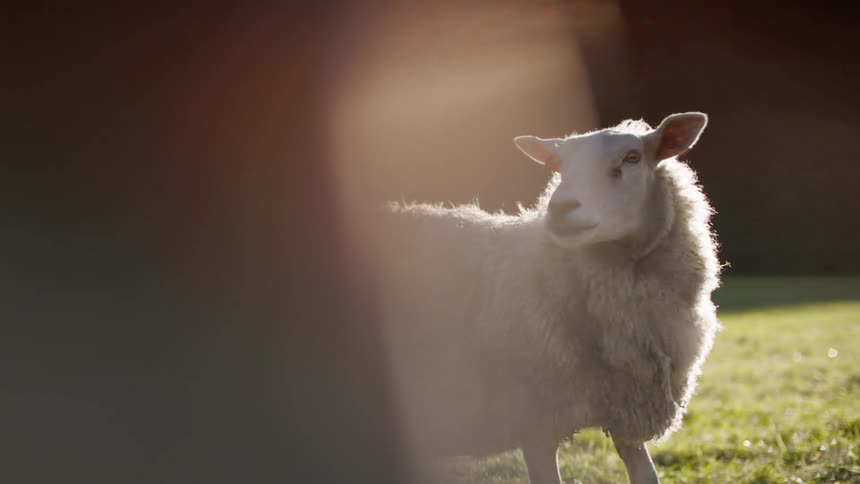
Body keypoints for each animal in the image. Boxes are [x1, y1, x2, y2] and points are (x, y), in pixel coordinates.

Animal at [363, 112, 722, 484]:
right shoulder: (534, 420)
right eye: (558, 165)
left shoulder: (626, 403)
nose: (561, 208)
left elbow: (646, 474)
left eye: (632, 157)